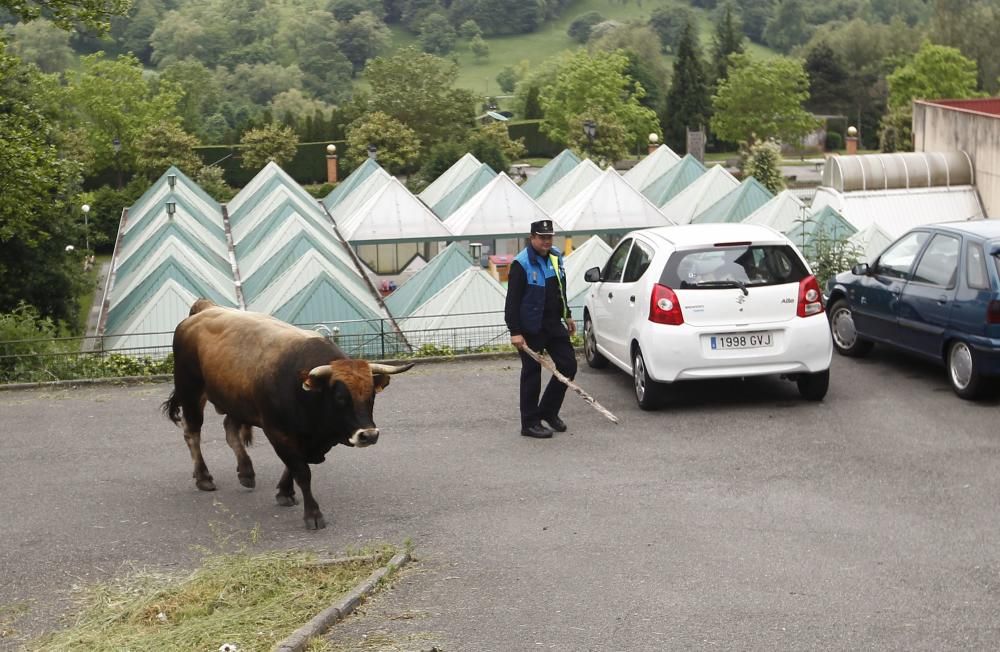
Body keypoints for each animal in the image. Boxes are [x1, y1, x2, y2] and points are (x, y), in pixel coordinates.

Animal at [162, 300, 412, 528]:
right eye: (340, 397)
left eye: (371, 396)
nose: (368, 435)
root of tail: (205, 308)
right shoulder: (278, 432)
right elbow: (301, 470)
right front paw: (312, 514)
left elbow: (295, 465)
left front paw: (284, 491)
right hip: (191, 392)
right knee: (192, 433)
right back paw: (203, 477)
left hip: (236, 400)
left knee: (230, 429)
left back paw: (246, 472)